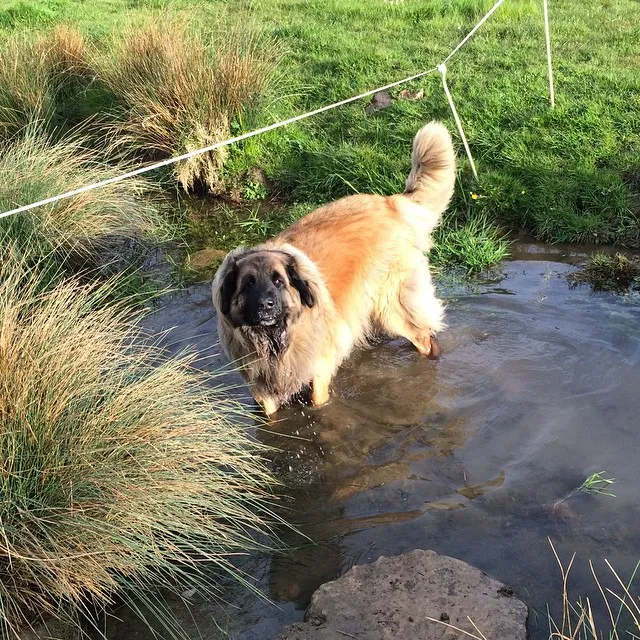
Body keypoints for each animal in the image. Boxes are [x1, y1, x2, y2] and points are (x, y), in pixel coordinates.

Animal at [214, 122, 456, 418]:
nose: (266, 306)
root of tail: (389, 202)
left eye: (278, 281)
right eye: (248, 284)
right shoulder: (261, 386)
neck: (276, 340)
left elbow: (318, 399)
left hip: (391, 307)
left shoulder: (320, 363)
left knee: (424, 338)